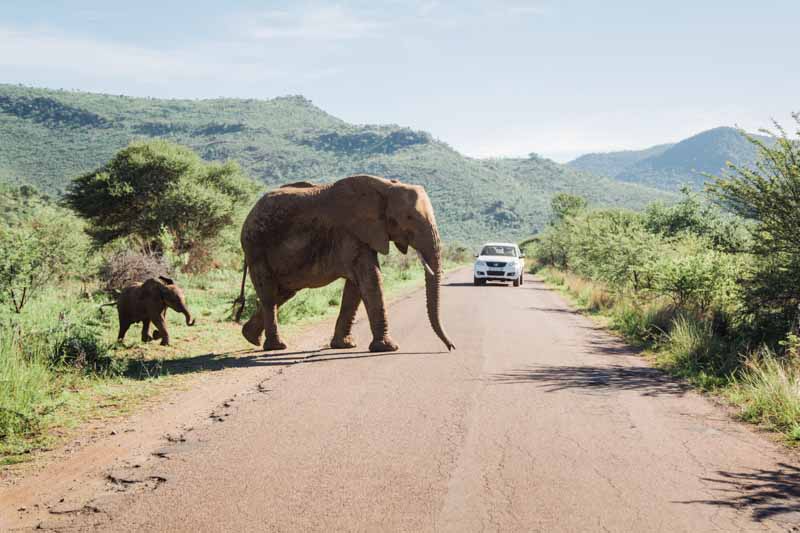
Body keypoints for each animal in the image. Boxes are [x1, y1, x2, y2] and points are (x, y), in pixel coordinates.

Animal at [238, 175, 454, 354]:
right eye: (409, 218)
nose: (451, 347)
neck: (386, 187)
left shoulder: (362, 235)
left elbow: (356, 287)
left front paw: (344, 345)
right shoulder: (351, 233)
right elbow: (370, 280)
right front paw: (388, 348)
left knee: (282, 293)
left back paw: (251, 338)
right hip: (256, 247)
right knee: (269, 294)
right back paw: (276, 346)